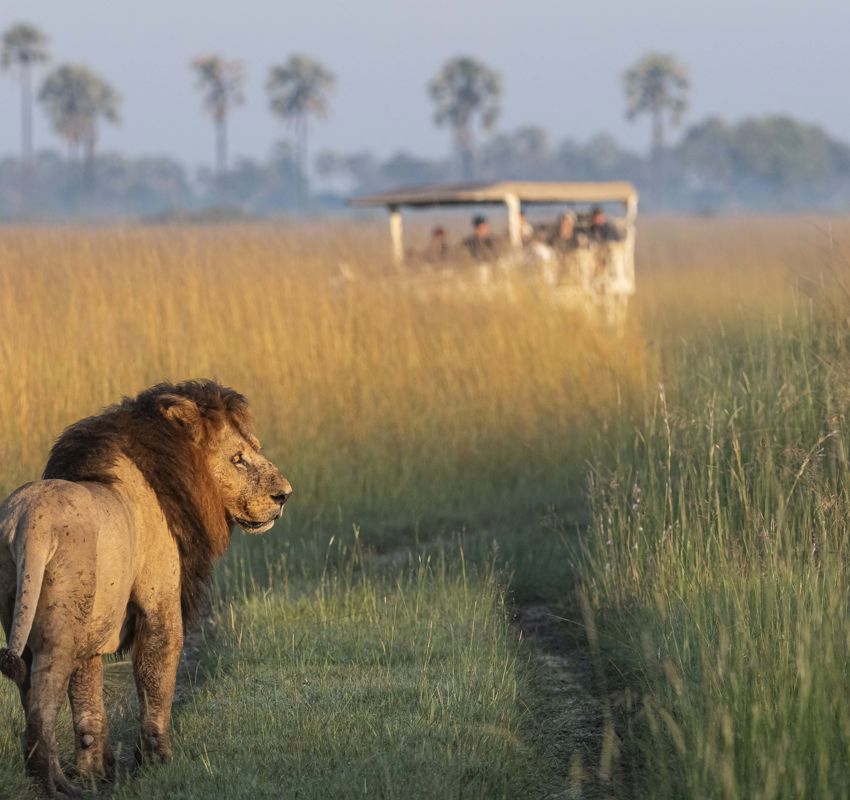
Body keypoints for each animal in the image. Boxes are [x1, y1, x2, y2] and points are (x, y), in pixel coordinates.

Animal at [0, 380, 292, 798]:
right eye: (238, 458)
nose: (284, 495)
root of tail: (27, 521)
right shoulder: (159, 603)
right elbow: (156, 678)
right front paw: (157, 762)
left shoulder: (95, 628)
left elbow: (88, 703)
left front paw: (95, 773)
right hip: (59, 629)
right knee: (41, 700)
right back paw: (53, 784)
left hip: (21, 610)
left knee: (28, 688)